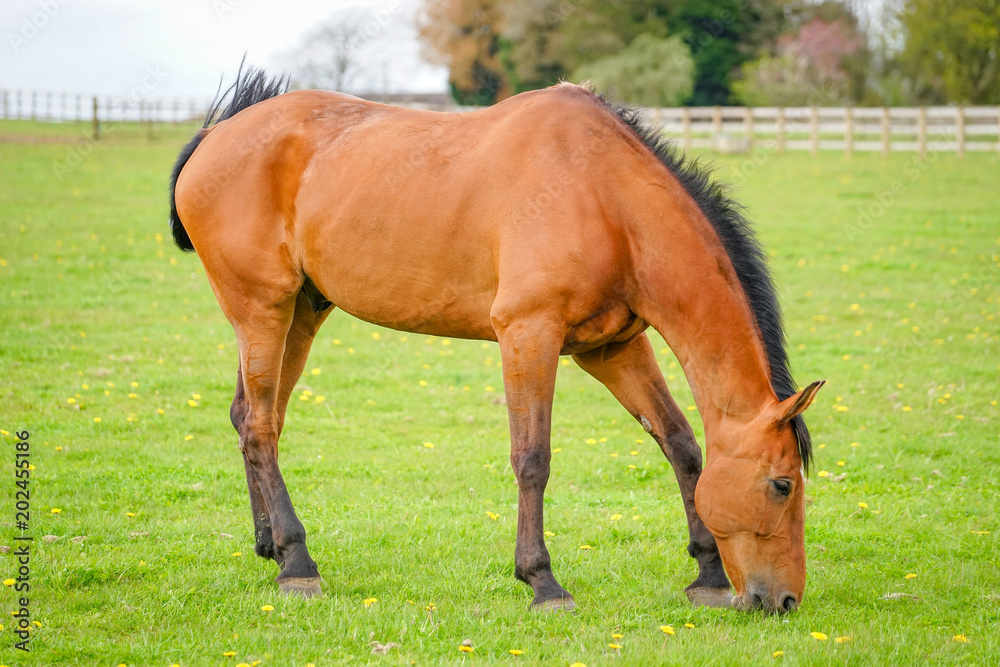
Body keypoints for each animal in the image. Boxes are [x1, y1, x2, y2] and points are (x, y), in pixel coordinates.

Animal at [168, 64, 824, 614]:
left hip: (301, 313)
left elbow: (680, 444)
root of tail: (216, 134)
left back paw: (268, 545)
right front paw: (542, 581)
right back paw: (297, 562)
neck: (603, 195)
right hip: (263, 310)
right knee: (260, 426)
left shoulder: (610, 348)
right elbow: (532, 458)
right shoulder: (528, 334)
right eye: (782, 484)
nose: (785, 601)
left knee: (254, 418)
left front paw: (707, 575)